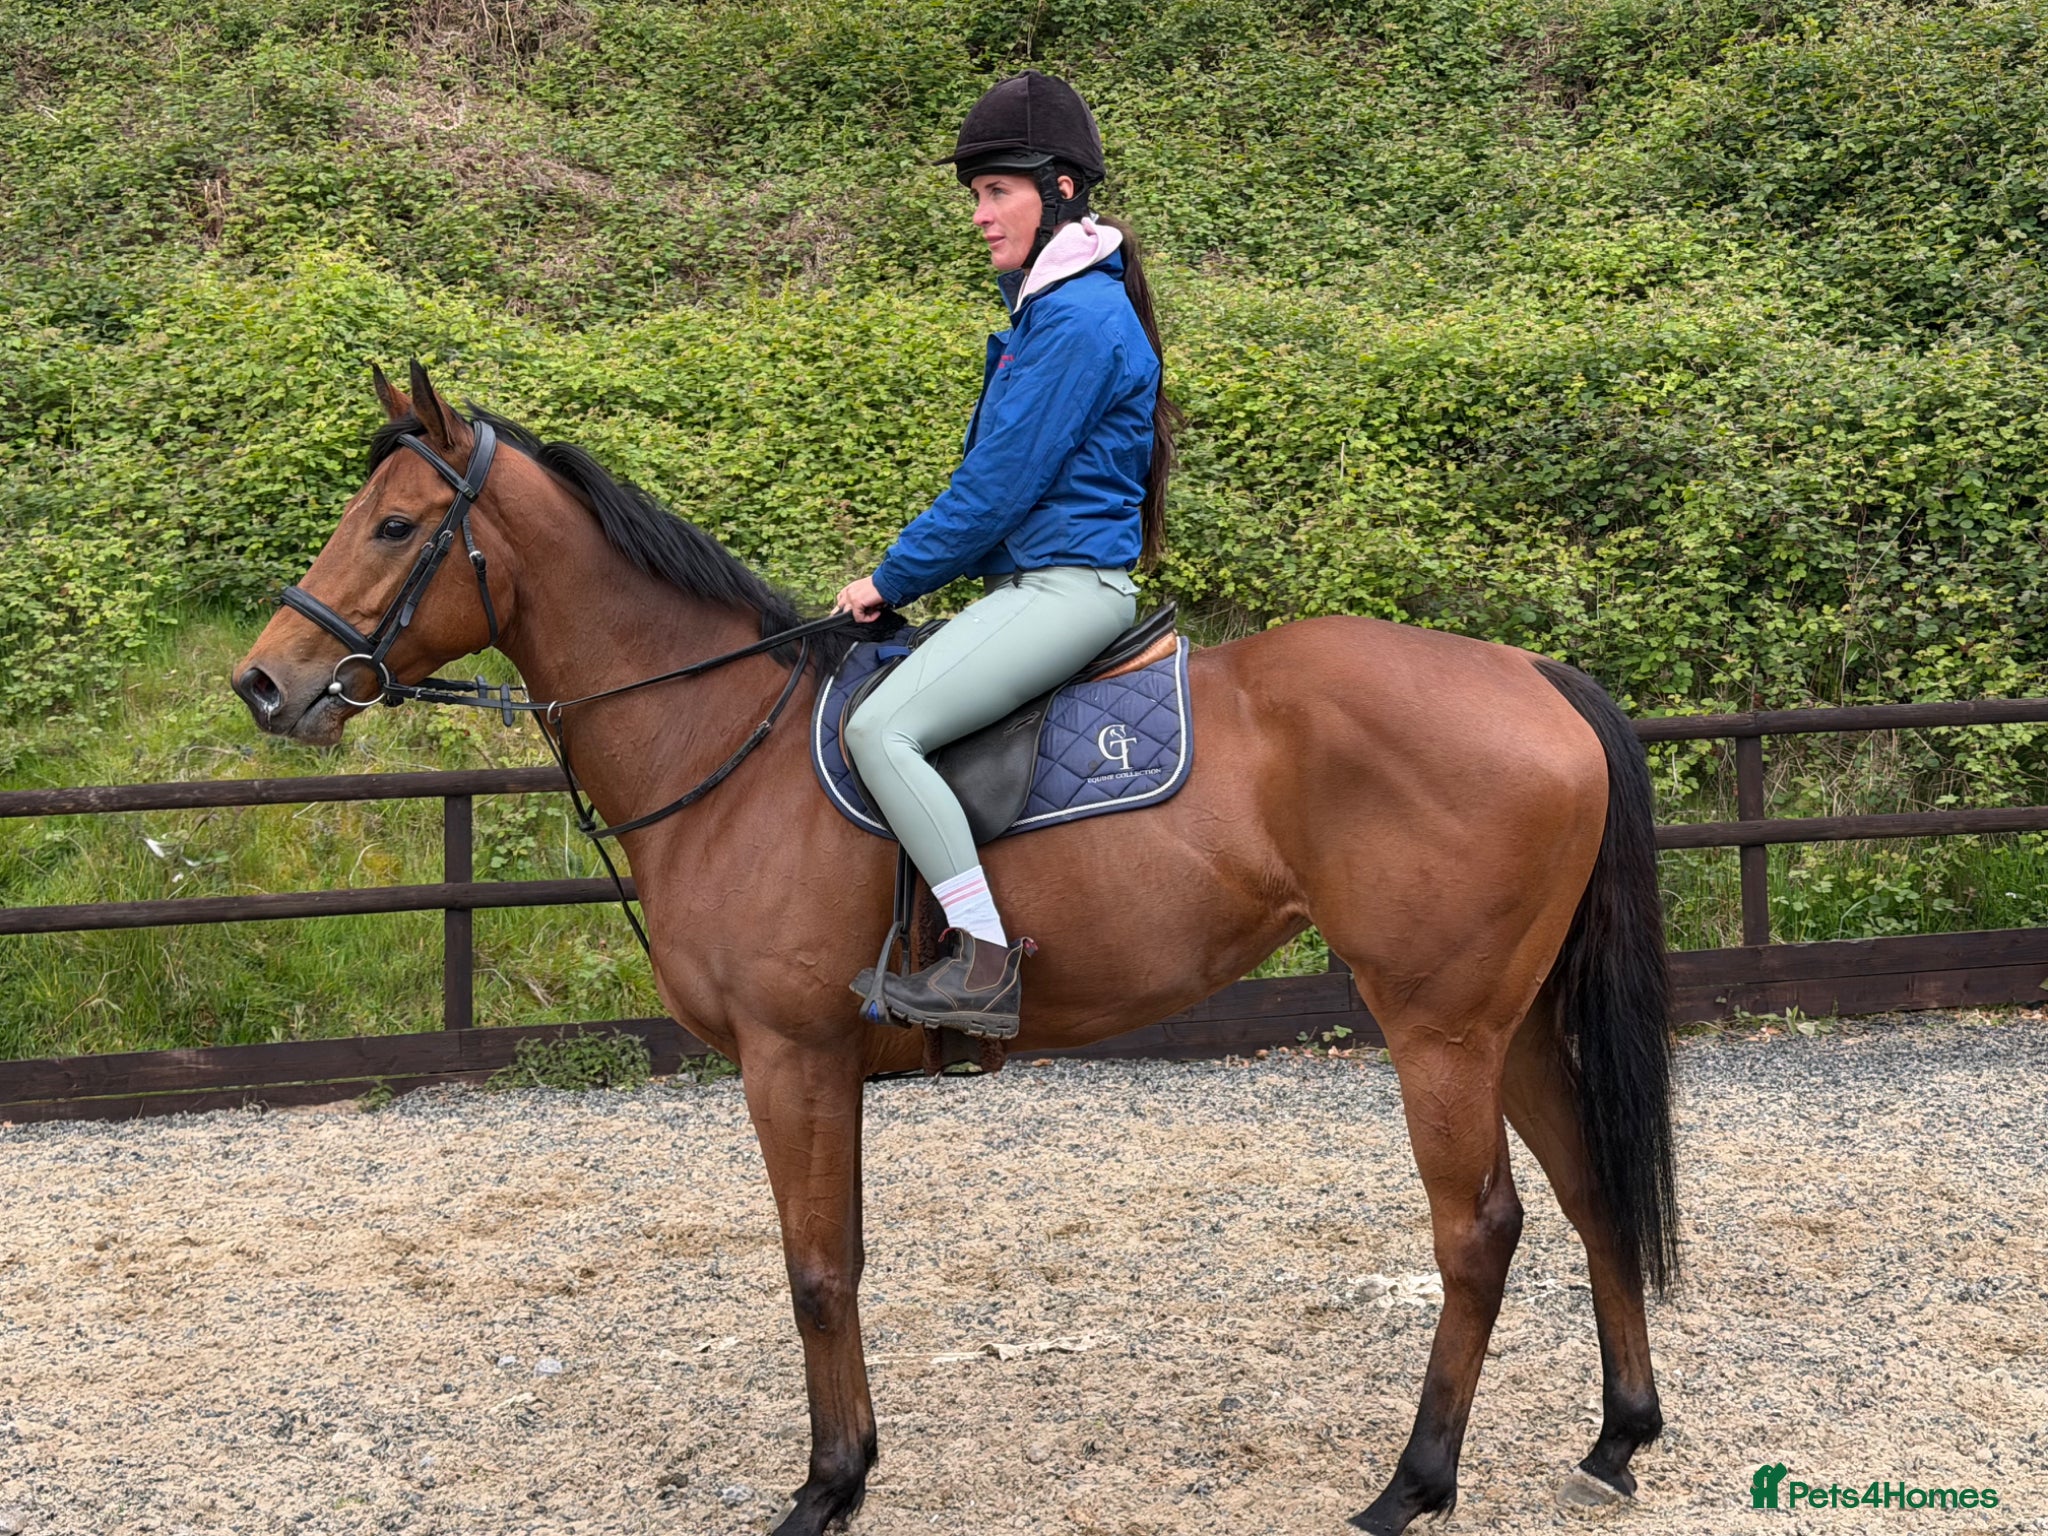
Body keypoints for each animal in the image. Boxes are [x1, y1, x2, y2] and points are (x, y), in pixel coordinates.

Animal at [233, 362, 1678, 1536]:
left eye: (396, 526)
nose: (264, 683)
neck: (726, 741)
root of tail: (1530, 671)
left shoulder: (789, 1058)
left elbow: (816, 1273)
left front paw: (824, 1489)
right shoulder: (826, 1068)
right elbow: (846, 1260)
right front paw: (855, 1466)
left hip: (1437, 1025)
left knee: (1479, 1229)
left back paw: (1413, 1484)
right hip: (1510, 1020)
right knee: (1590, 1191)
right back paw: (1617, 1439)